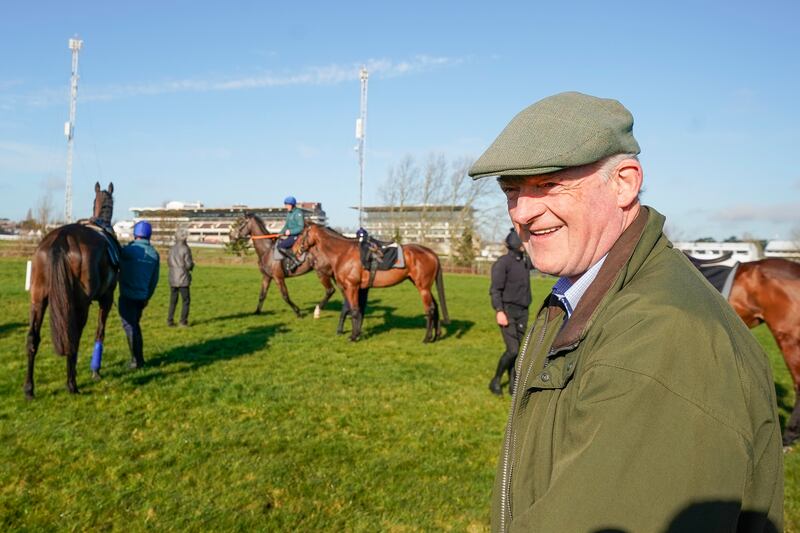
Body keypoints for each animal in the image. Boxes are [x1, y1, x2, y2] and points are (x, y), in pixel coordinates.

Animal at [24, 181, 120, 396]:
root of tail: (61, 238)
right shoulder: (106, 298)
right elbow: (100, 332)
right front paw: (95, 371)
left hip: (38, 299)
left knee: (33, 338)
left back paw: (29, 388)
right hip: (81, 304)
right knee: (73, 338)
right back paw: (72, 384)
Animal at [292, 223, 450, 340]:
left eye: (300, 234)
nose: (294, 250)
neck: (343, 253)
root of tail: (431, 253)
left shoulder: (351, 287)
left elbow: (354, 310)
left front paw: (353, 336)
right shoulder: (360, 288)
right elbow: (357, 310)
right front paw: (356, 333)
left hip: (423, 287)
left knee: (430, 309)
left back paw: (427, 338)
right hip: (424, 286)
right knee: (435, 306)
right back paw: (436, 335)